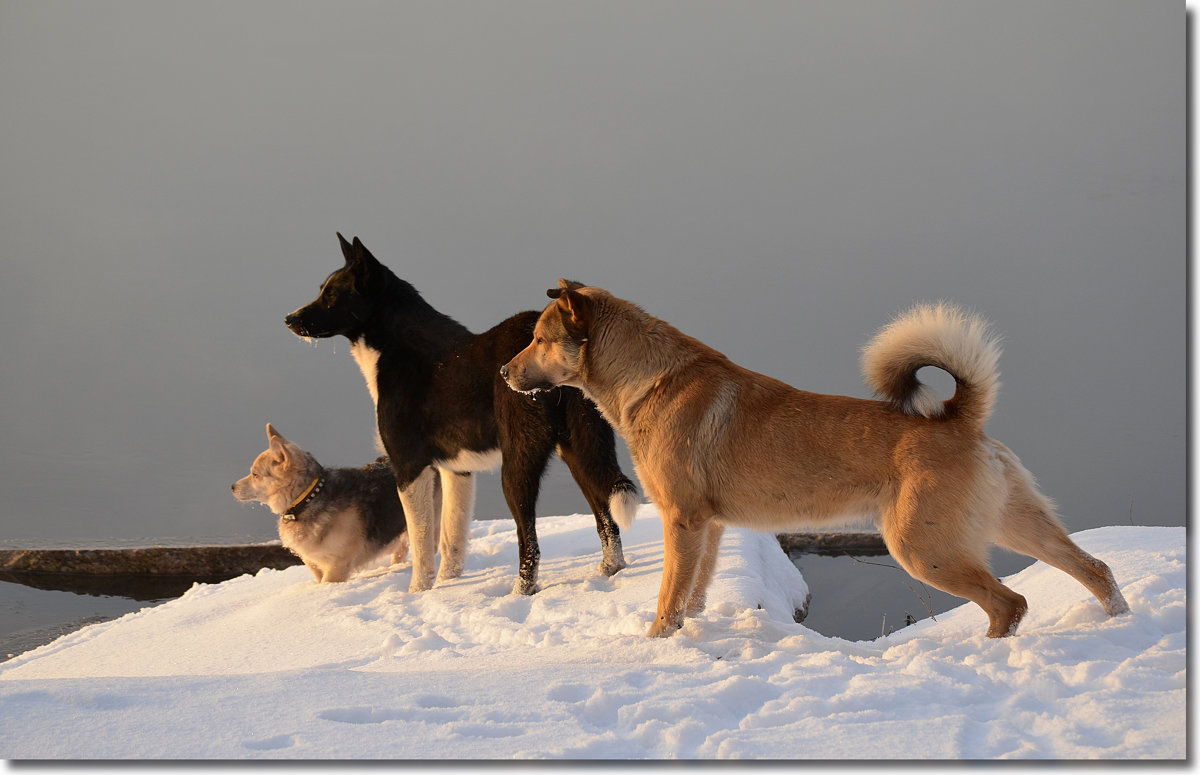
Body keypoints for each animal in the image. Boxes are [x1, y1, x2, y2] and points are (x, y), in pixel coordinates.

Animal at [283, 235, 638, 595]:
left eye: (331, 295)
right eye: (322, 290)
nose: (289, 319)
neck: (398, 348)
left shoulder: (409, 468)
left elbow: (421, 543)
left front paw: (418, 593)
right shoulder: (457, 470)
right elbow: (452, 539)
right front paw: (447, 587)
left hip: (517, 464)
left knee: (531, 545)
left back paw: (518, 594)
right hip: (582, 450)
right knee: (608, 521)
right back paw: (609, 571)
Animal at [501, 281, 1128, 643]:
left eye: (540, 339)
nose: (504, 373)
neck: (648, 380)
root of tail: (959, 420)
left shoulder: (681, 520)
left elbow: (668, 597)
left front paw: (655, 645)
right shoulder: (708, 526)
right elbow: (693, 595)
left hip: (923, 547)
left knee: (1009, 602)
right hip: (1011, 523)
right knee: (1093, 568)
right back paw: (1119, 622)